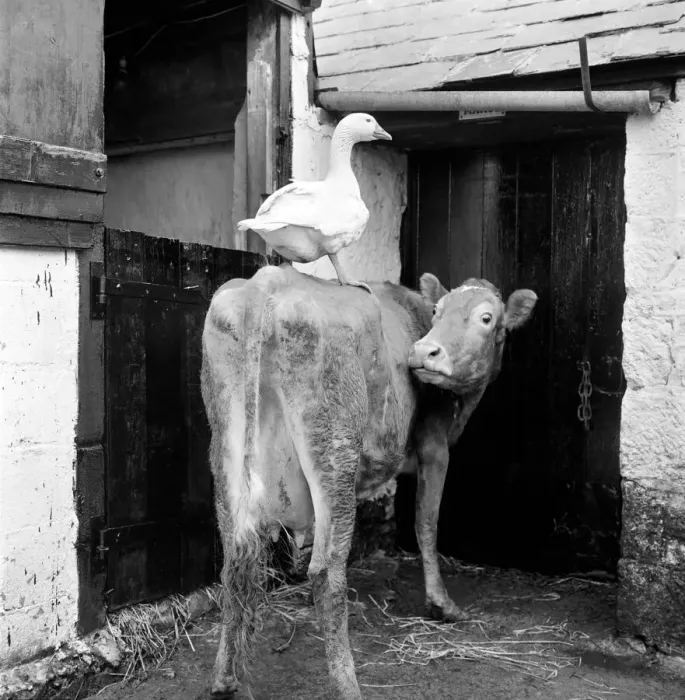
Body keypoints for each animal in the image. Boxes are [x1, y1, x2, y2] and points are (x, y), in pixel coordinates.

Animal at [200, 263, 537, 699]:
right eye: (437, 311)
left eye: (486, 318)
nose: (425, 352)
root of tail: (266, 281)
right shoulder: (434, 442)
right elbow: (426, 523)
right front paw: (442, 604)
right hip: (335, 447)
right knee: (325, 572)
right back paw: (349, 686)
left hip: (224, 443)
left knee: (234, 562)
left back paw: (224, 677)